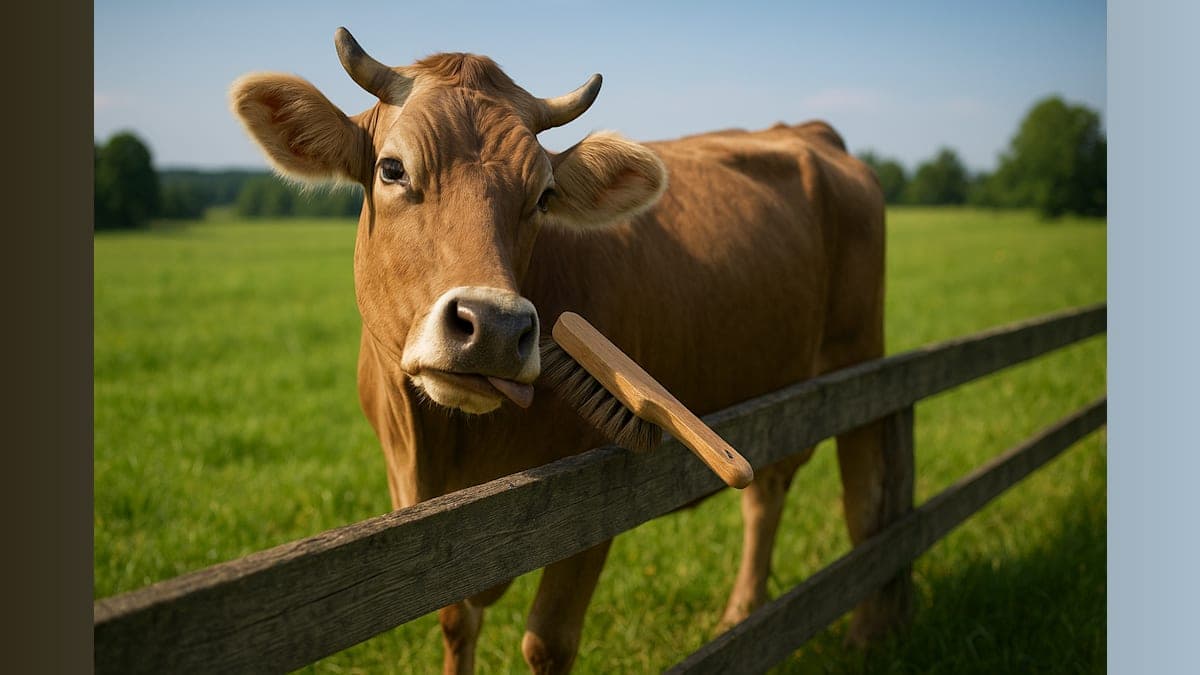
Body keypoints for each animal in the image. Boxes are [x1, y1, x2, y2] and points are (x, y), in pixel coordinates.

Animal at [230, 27, 897, 674]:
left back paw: (867, 631)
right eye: (391, 169)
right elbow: (455, 624)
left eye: (544, 196)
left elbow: (548, 642)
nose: (494, 327)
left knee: (864, 496)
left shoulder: (589, 506)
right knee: (767, 492)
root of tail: (808, 131)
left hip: (859, 359)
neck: (444, 448)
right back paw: (742, 614)